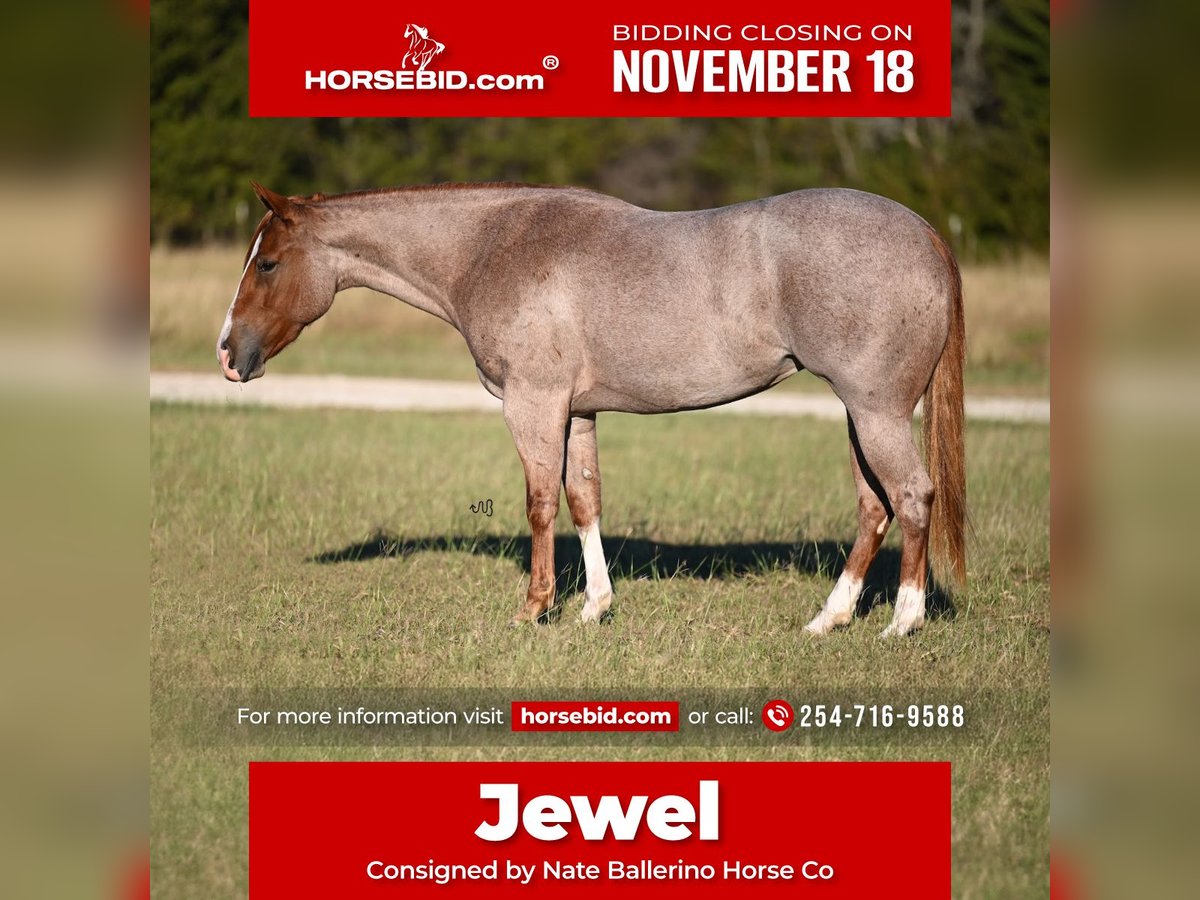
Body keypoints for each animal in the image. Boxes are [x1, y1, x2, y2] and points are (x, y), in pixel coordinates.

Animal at [216, 181, 964, 633]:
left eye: (268, 263)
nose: (227, 353)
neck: (491, 247)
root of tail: (924, 231)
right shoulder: (576, 412)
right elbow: (584, 500)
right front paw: (594, 608)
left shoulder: (533, 404)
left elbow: (541, 503)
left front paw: (533, 609)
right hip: (859, 415)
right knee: (874, 507)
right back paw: (828, 619)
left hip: (875, 411)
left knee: (912, 496)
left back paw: (903, 620)